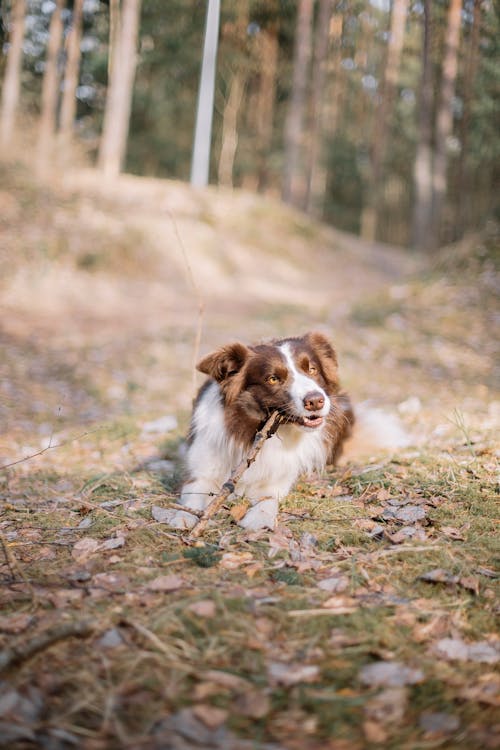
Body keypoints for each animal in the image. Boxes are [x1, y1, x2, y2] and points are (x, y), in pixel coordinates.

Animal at [178, 332, 354, 532]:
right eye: (273, 379)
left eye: (312, 369)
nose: (316, 401)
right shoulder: (199, 472)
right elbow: (194, 493)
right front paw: (183, 517)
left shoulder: (277, 479)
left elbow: (268, 500)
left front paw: (258, 519)